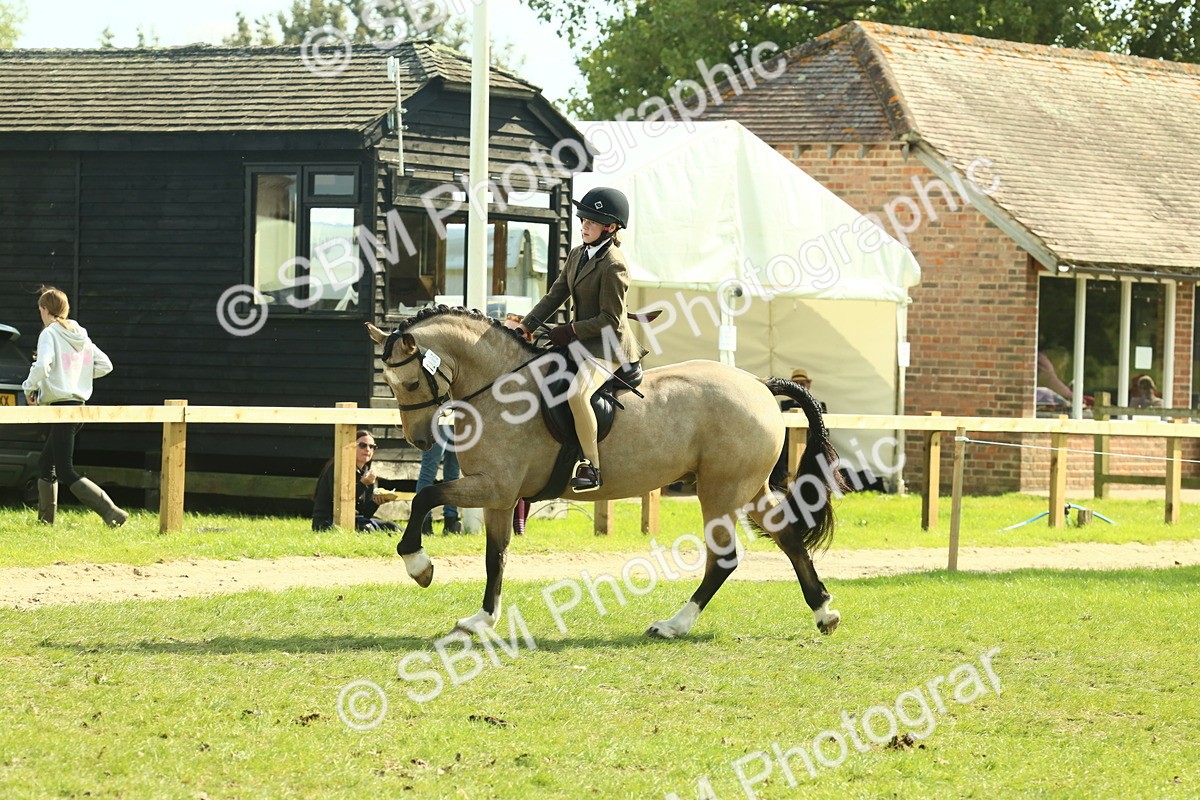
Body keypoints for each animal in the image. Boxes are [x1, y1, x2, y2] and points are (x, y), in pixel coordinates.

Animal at [366, 307, 844, 639]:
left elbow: (426, 497)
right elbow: (494, 557)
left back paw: (673, 625)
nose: (420, 441)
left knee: (724, 558)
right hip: (748, 487)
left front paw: (419, 566)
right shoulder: (499, 496)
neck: (500, 389)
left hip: (720, 491)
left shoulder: (493, 487)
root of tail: (761, 385)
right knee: (788, 537)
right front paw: (482, 619)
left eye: (410, 383)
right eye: (389, 384)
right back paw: (824, 611)